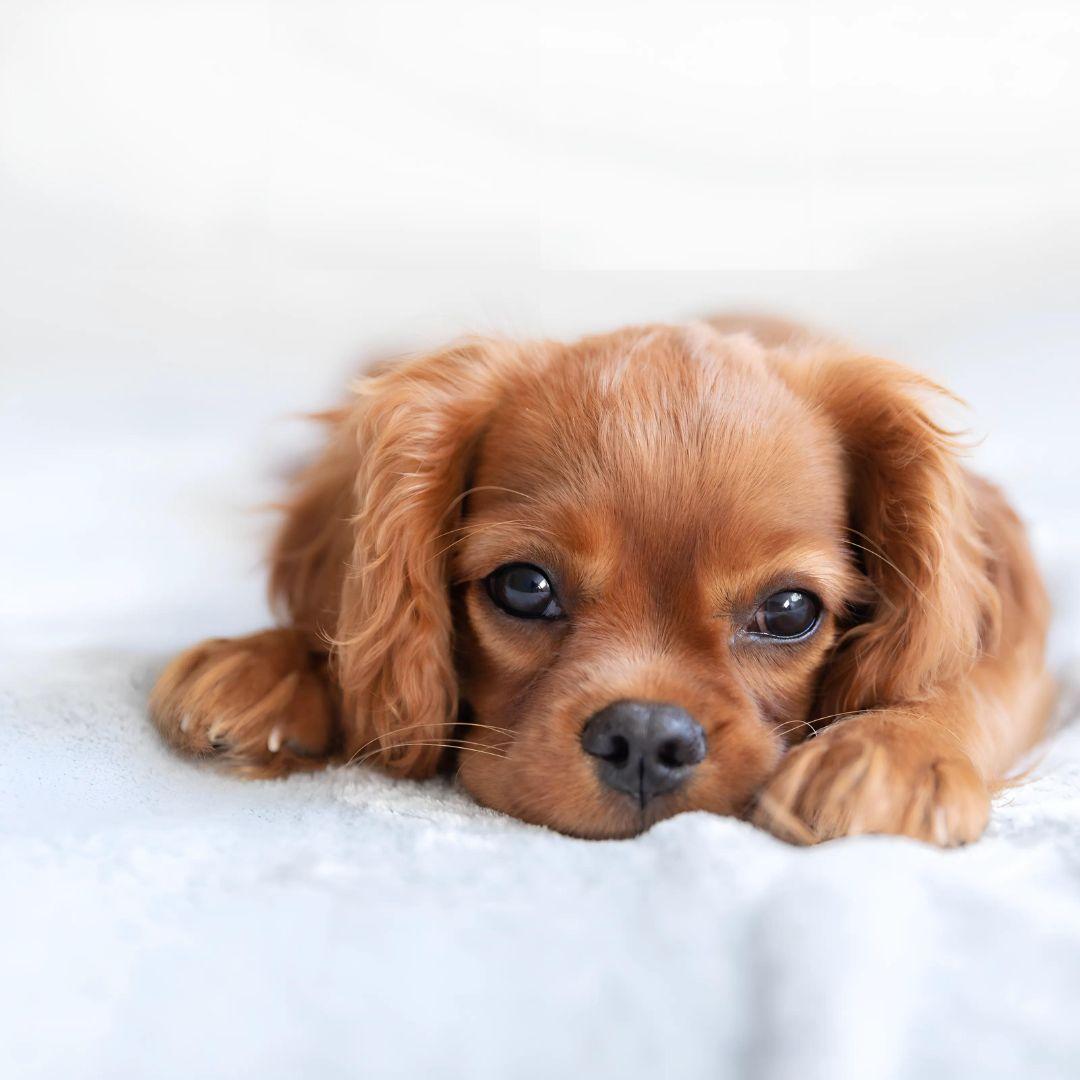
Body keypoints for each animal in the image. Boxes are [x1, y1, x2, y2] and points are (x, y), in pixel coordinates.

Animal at [147, 317, 1049, 842]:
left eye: (790, 609)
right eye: (524, 586)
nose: (645, 738)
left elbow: (968, 680)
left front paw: (891, 755)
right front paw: (271, 664)